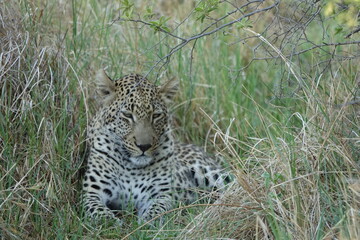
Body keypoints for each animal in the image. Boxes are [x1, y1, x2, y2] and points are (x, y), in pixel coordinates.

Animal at [82, 70, 229, 224]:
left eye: (156, 115)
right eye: (127, 115)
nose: (144, 146)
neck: (131, 167)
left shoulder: (163, 193)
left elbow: (157, 210)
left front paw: (145, 222)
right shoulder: (92, 193)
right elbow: (98, 212)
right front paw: (113, 222)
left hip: (211, 173)